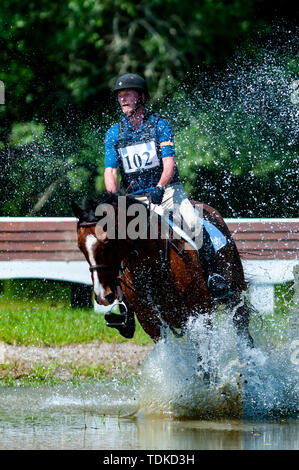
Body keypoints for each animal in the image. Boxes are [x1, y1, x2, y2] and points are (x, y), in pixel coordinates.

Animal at [71, 192, 254, 348]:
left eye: (108, 242)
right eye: (80, 246)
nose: (102, 295)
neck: (151, 266)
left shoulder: (200, 315)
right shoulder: (152, 323)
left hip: (235, 294)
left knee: (243, 327)